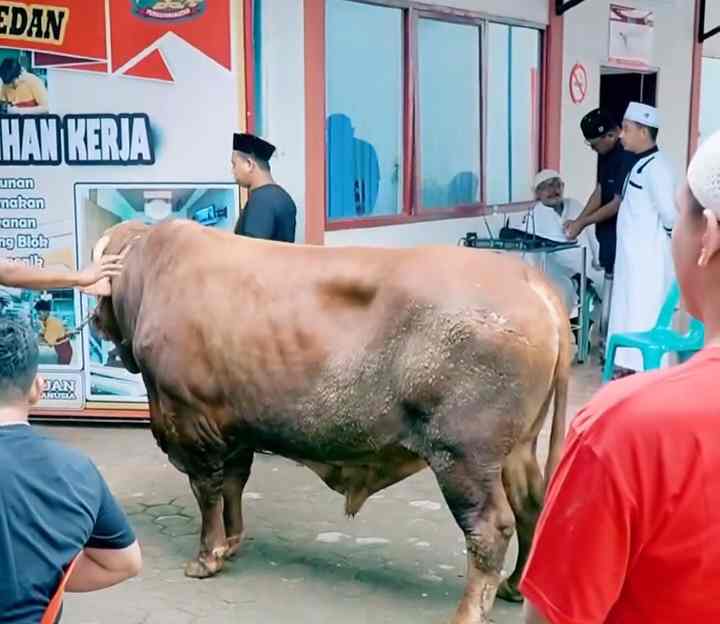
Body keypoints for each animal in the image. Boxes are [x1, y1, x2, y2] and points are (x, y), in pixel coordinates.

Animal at [90, 219, 572, 624]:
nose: (94, 320)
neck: (153, 273)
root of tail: (530, 281)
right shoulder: (238, 427)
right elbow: (234, 485)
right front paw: (232, 542)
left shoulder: (190, 423)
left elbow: (207, 490)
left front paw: (206, 557)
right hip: (516, 450)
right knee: (531, 505)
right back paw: (513, 585)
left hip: (462, 456)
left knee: (490, 527)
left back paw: (468, 613)